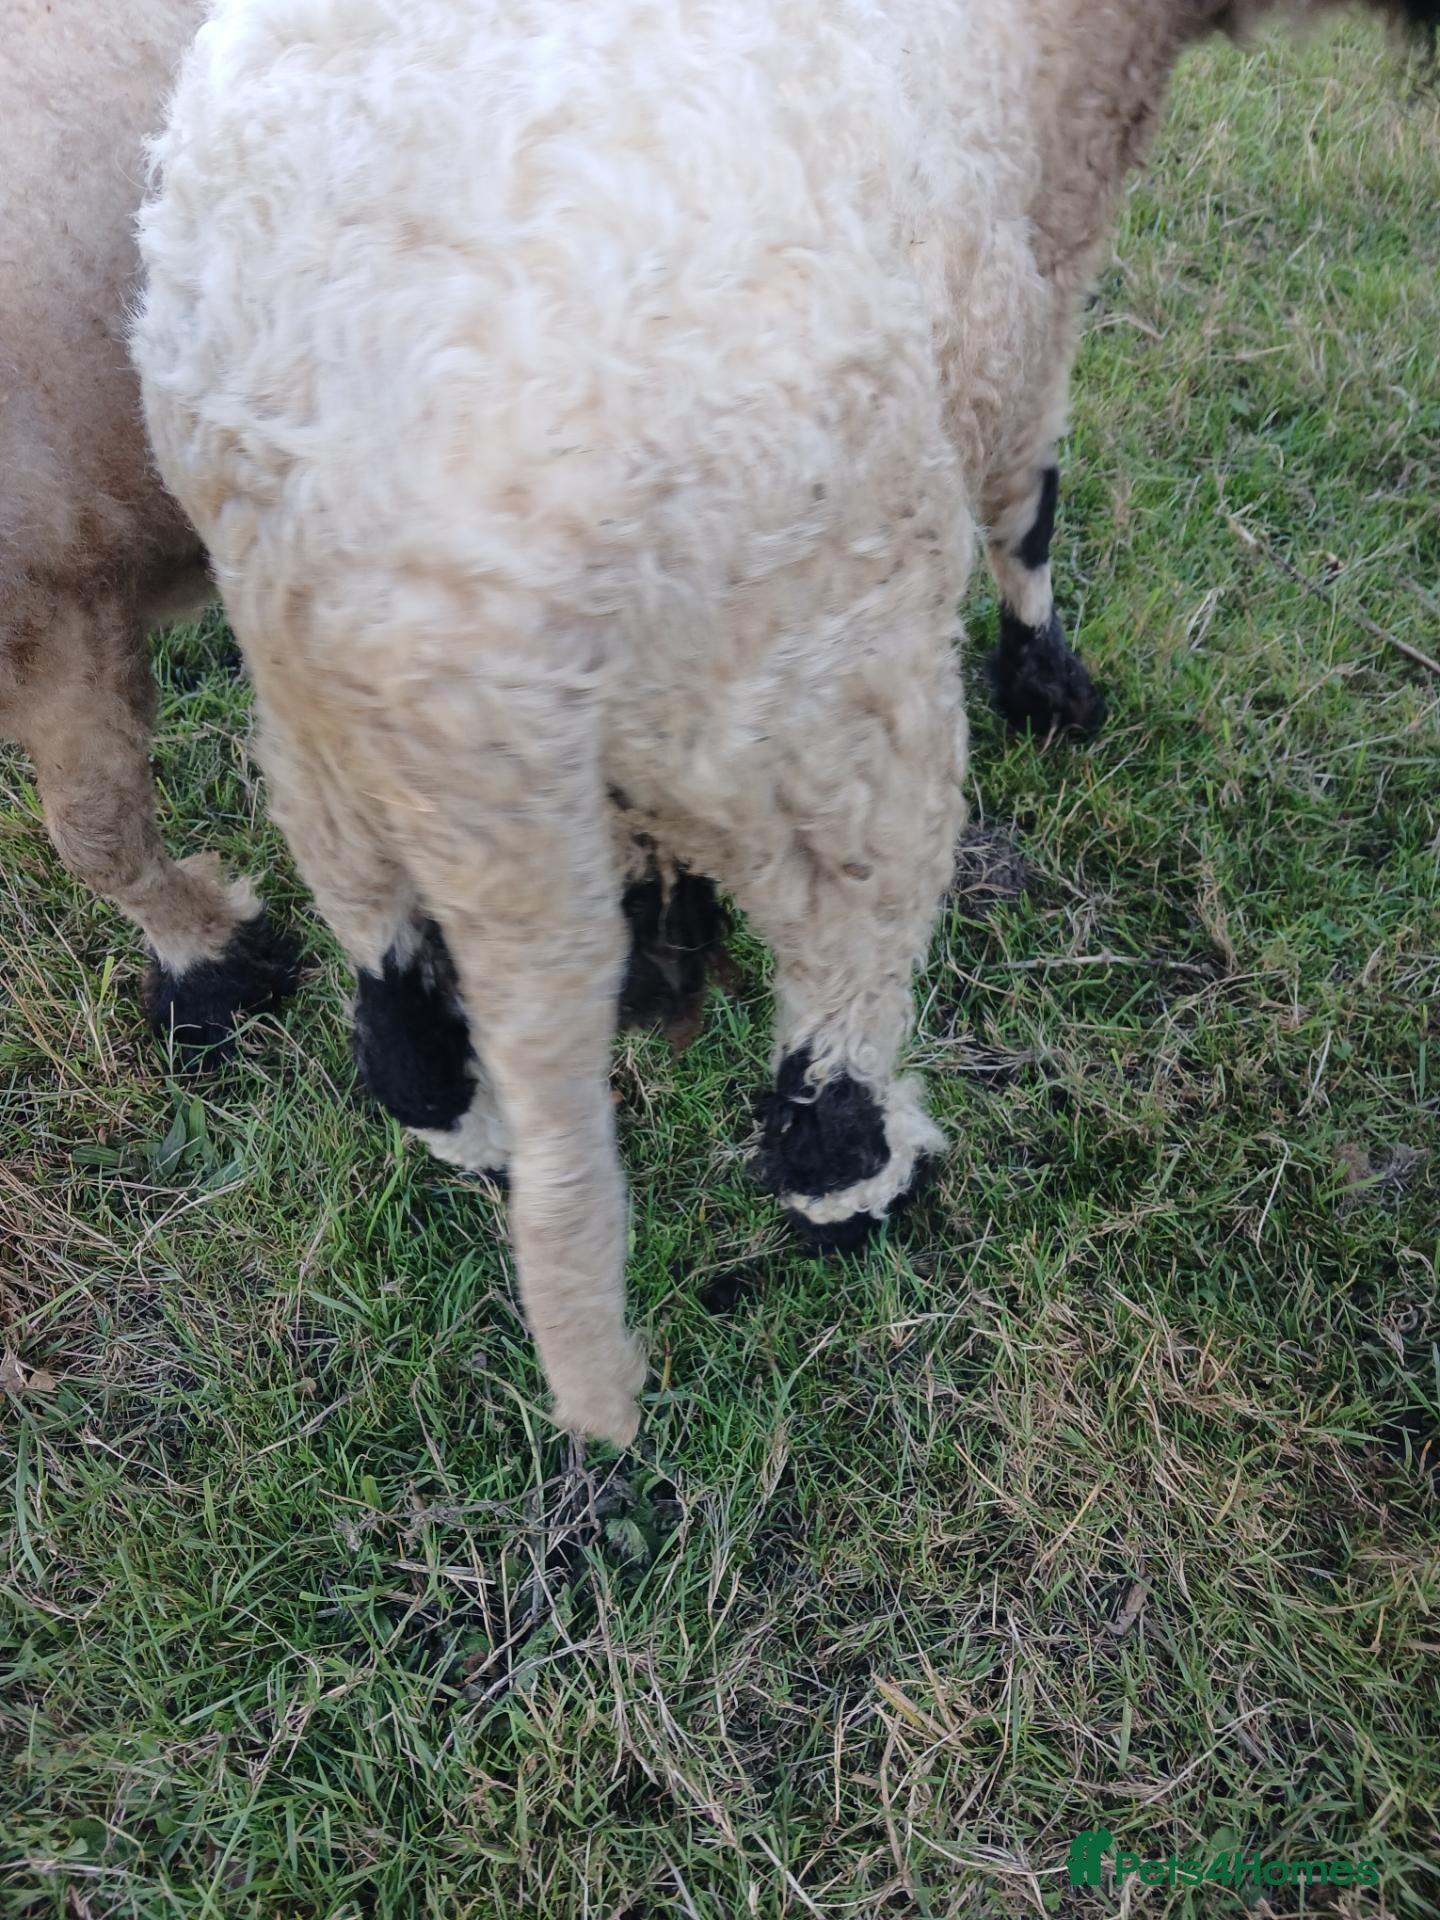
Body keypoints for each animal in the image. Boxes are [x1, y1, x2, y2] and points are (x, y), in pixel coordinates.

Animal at [133, 0, 1436, 1443]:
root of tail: (453, 630)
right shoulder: (1019, 318)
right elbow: (1031, 504)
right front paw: (1051, 686)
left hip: (330, 761)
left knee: (402, 1036)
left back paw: (486, 1139)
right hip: (830, 712)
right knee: (823, 1066)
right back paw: (874, 1190)